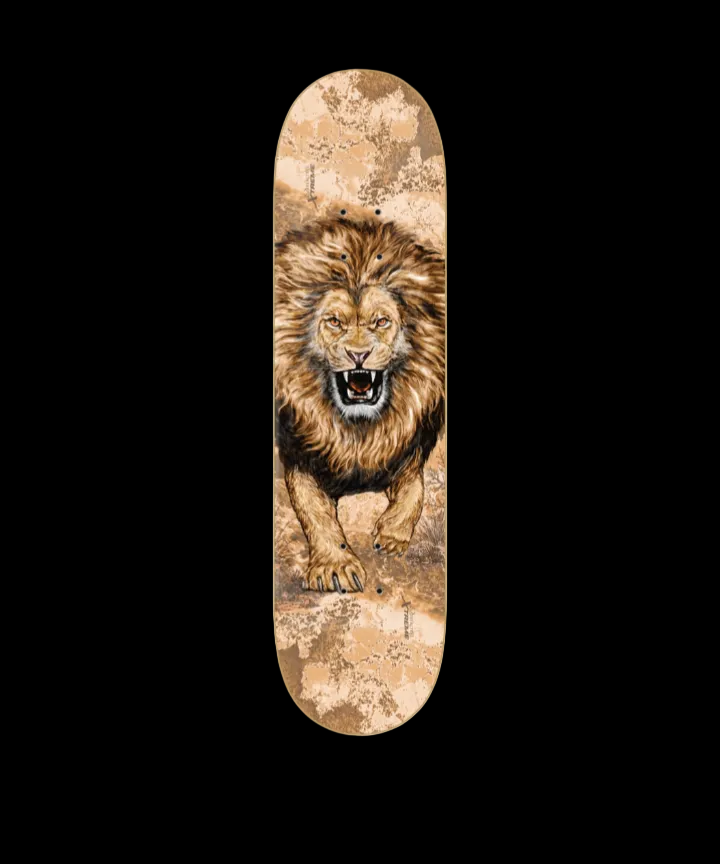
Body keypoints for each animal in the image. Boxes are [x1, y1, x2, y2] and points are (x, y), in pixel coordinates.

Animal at [275, 215, 445, 593]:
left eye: (381, 321)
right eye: (334, 321)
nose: (358, 354)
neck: (358, 430)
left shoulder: (408, 450)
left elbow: (415, 491)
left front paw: (392, 535)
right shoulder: (299, 454)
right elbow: (316, 512)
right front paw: (335, 566)